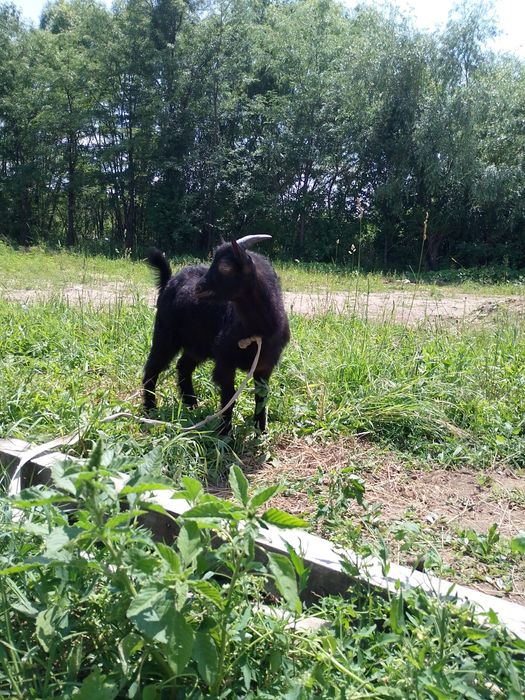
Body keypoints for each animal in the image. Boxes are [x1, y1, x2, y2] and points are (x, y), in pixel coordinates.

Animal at [142, 235, 290, 434]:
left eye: (225, 267)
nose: (199, 287)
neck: (257, 330)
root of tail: (169, 281)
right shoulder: (225, 361)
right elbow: (229, 396)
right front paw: (225, 432)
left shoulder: (264, 365)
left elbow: (261, 397)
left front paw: (261, 430)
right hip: (165, 334)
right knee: (153, 367)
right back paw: (150, 408)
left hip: (197, 345)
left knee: (183, 366)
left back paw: (191, 404)